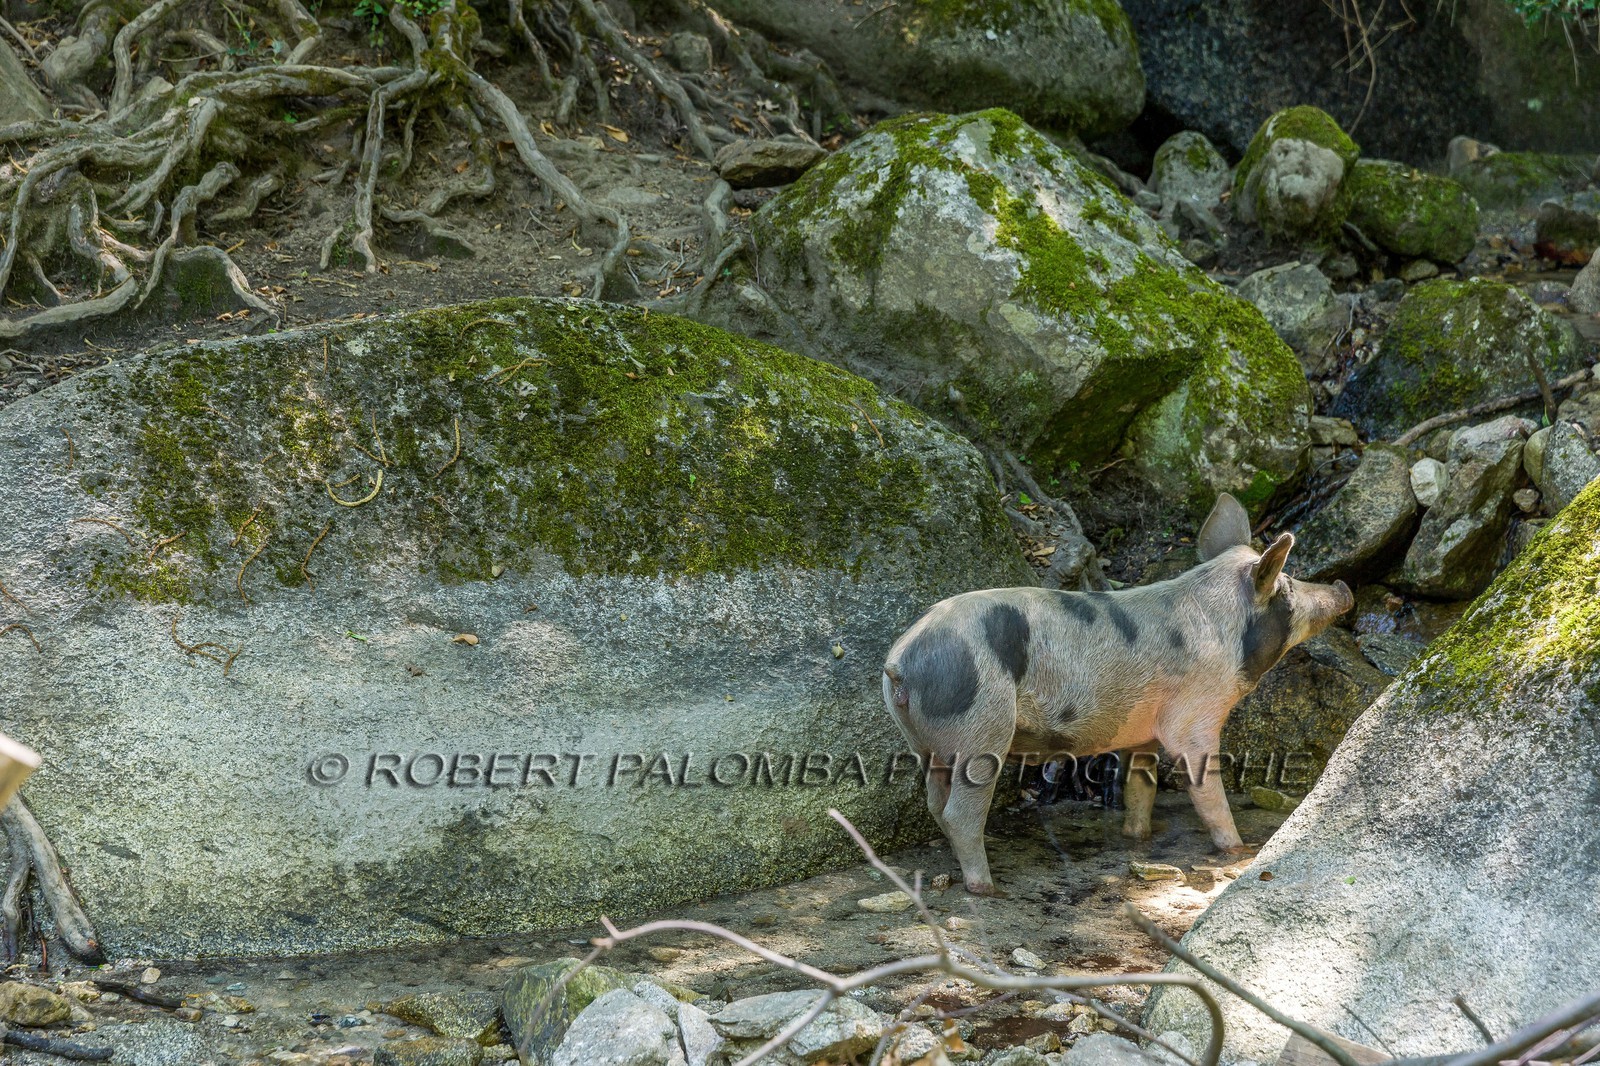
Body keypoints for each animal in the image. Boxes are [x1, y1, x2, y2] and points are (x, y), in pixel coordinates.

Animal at [881, 494, 1353, 896]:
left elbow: (1140, 786)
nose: (1344, 588)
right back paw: (986, 888)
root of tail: (902, 662)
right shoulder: (1196, 714)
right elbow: (1206, 787)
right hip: (981, 725)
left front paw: (1137, 838)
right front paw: (1239, 850)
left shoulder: (1142, 731)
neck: (1227, 633)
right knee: (961, 813)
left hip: (925, 742)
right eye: (1286, 587)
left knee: (936, 803)